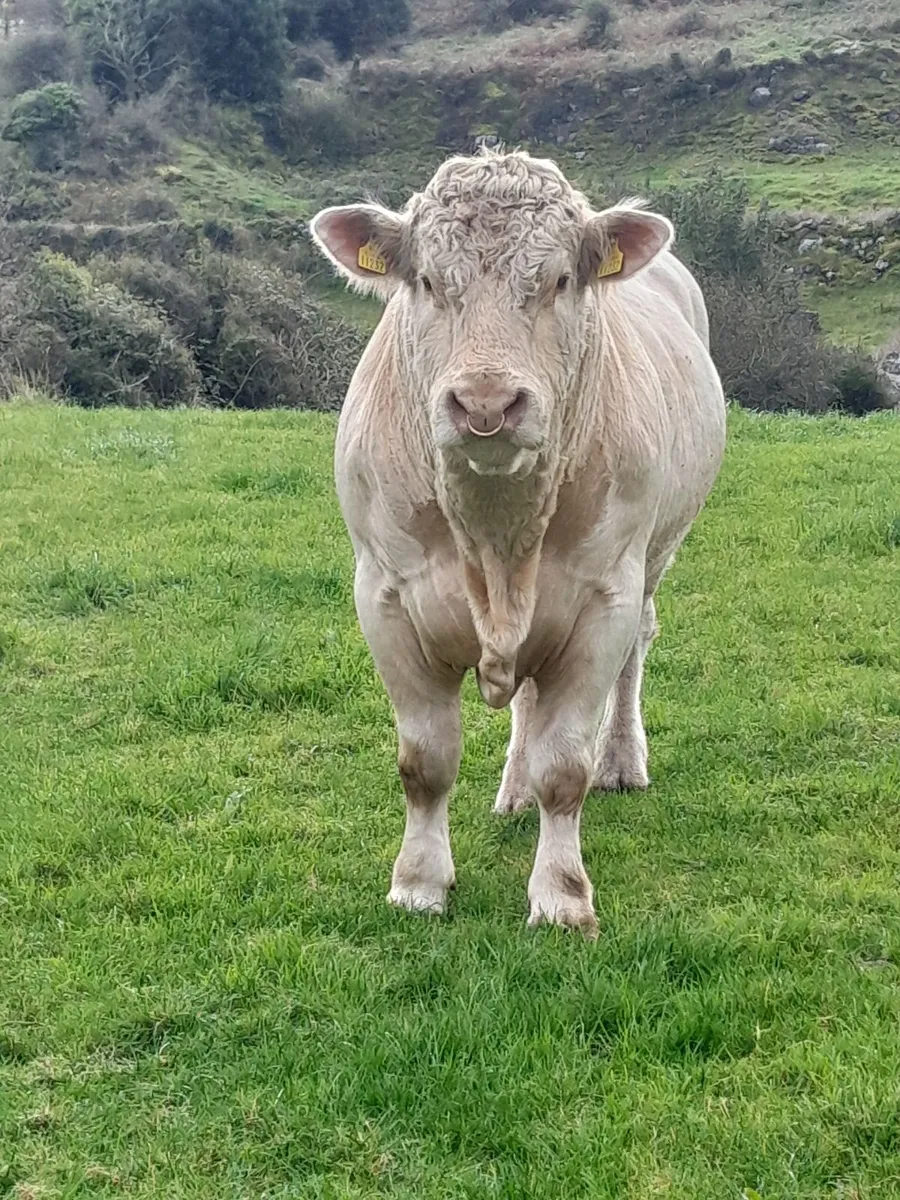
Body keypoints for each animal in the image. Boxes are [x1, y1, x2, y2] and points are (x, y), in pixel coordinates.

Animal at [311, 150, 725, 936]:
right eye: (428, 281)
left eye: (560, 280)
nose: (486, 404)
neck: (498, 541)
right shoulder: (383, 594)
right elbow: (425, 760)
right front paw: (419, 882)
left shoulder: (603, 596)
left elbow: (566, 767)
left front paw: (561, 895)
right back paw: (514, 789)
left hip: (656, 556)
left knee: (637, 649)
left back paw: (621, 760)